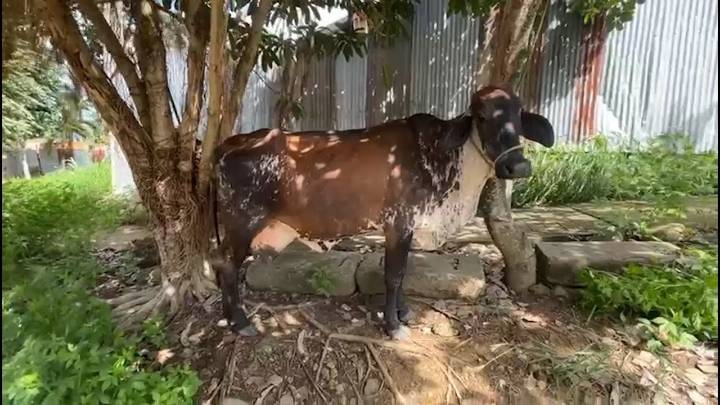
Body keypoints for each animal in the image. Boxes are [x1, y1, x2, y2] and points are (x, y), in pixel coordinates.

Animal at [212, 85, 554, 340]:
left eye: (519, 117)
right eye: (481, 117)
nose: (518, 166)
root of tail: (230, 143)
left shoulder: (410, 227)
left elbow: (403, 273)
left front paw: (403, 312)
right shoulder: (398, 223)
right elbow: (394, 275)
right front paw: (393, 325)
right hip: (241, 223)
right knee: (226, 266)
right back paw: (240, 322)